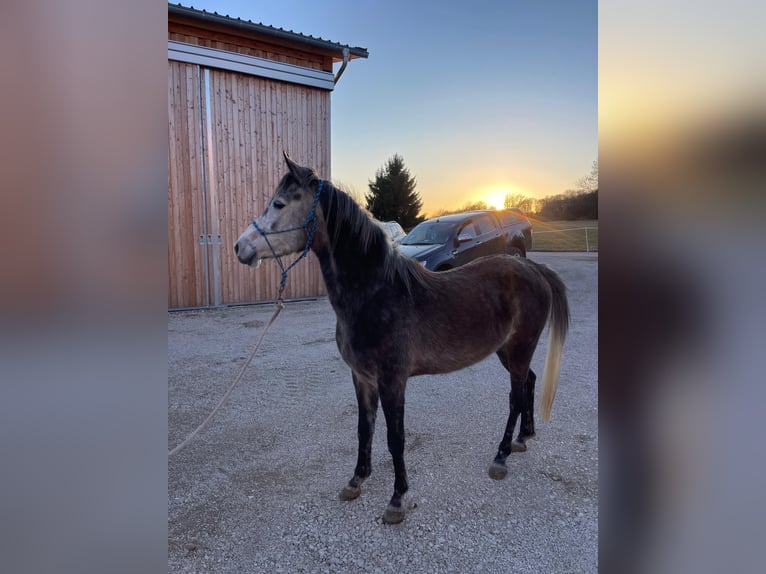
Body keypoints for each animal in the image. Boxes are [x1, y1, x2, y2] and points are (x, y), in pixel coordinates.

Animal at [235, 153, 569, 524]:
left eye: (279, 204)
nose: (240, 248)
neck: (377, 294)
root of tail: (533, 269)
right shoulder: (362, 378)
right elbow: (364, 429)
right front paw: (356, 480)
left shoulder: (392, 380)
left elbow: (395, 437)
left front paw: (397, 499)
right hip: (508, 351)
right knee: (529, 382)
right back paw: (524, 438)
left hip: (520, 347)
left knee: (515, 396)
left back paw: (501, 456)